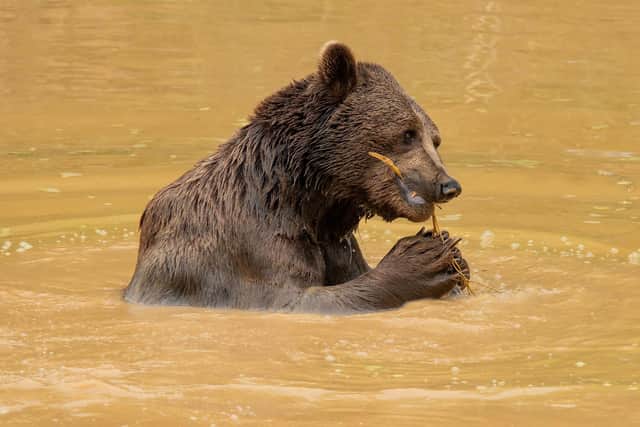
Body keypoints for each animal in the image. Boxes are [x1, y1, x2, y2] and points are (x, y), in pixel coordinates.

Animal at [124, 42, 469, 314]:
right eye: (407, 133)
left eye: (435, 139)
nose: (448, 185)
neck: (306, 198)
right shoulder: (248, 244)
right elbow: (297, 299)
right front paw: (422, 257)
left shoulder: (335, 241)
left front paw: (456, 260)